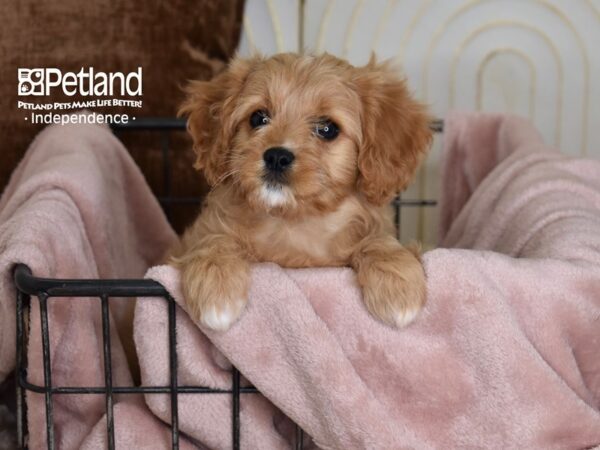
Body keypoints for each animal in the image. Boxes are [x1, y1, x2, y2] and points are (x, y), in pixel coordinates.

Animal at [171, 54, 434, 332]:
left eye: (328, 129)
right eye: (258, 118)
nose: (276, 156)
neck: (293, 222)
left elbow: (378, 240)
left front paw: (398, 285)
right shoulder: (199, 236)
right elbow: (214, 239)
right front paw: (216, 287)